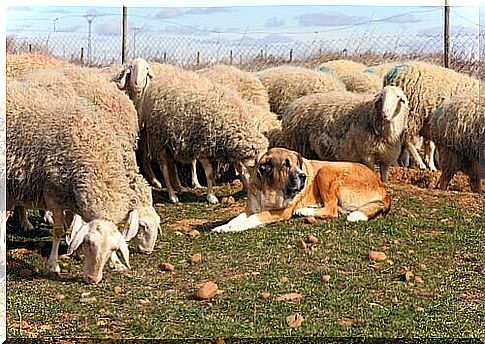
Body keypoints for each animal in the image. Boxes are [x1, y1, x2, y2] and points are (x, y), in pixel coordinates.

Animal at [6, 81, 158, 284]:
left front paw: (109, 261)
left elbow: (73, 226)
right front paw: (53, 266)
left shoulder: (71, 197)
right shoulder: (54, 195)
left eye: (112, 249)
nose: (92, 279)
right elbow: (58, 231)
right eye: (143, 226)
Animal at [117, 67, 268, 204]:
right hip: (159, 140)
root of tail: (156, 85)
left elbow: (240, 170)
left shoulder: (228, 148)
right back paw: (172, 195)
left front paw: (246, 186)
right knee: (164, 168)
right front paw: (211, 197)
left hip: (171, 141)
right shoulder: (203, 147)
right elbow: (209, 174)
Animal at [212, 146, 390, 232]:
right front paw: (223, 227)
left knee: (332, 210)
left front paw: (233, 228)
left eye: (297, 164)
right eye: (285, 165)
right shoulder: (249, 209)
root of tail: (382, 185)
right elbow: (236, 218)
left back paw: (304, 211)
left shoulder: (280, 212)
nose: (303, 176)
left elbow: (255, 218)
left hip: (325, 171)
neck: (270, 188)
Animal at [280, 85, 408, 183]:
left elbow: (384, 177)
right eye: (382, 97)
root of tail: (292, 106)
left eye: (398, 97)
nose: (384, 113)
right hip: (300, 146)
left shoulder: (387, 156)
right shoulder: (367, 155)